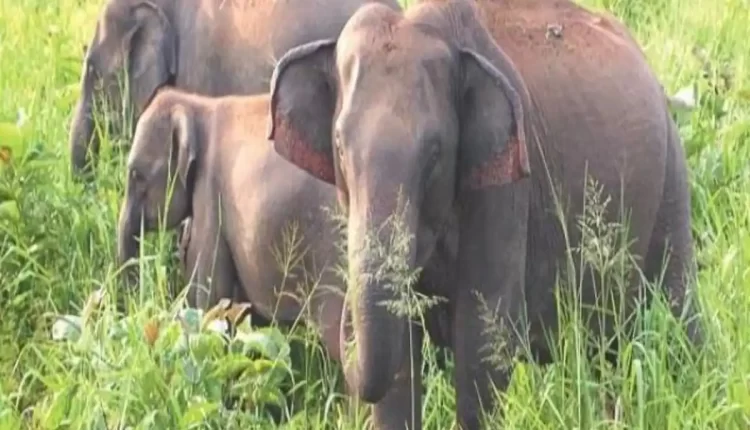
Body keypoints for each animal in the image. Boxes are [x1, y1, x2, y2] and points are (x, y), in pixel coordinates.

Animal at [266, 0, 703, 428]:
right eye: (339, 147)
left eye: (435, 153)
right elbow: (403, 353)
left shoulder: (507, 183)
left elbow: (482, 334)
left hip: (672, 175)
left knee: (676, 309)